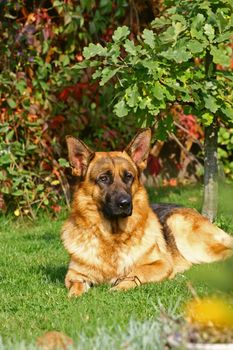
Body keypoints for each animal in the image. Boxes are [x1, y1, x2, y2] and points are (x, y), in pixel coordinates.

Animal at [62, 127, 233, 296]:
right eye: (103, 178)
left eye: (128, 177)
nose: (125, 203)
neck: (112, 237)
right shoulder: (74, 275)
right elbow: (75, 287)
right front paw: (74, 295)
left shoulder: (160, 263)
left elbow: (136, 272)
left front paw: (120, 286)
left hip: (185, 233)